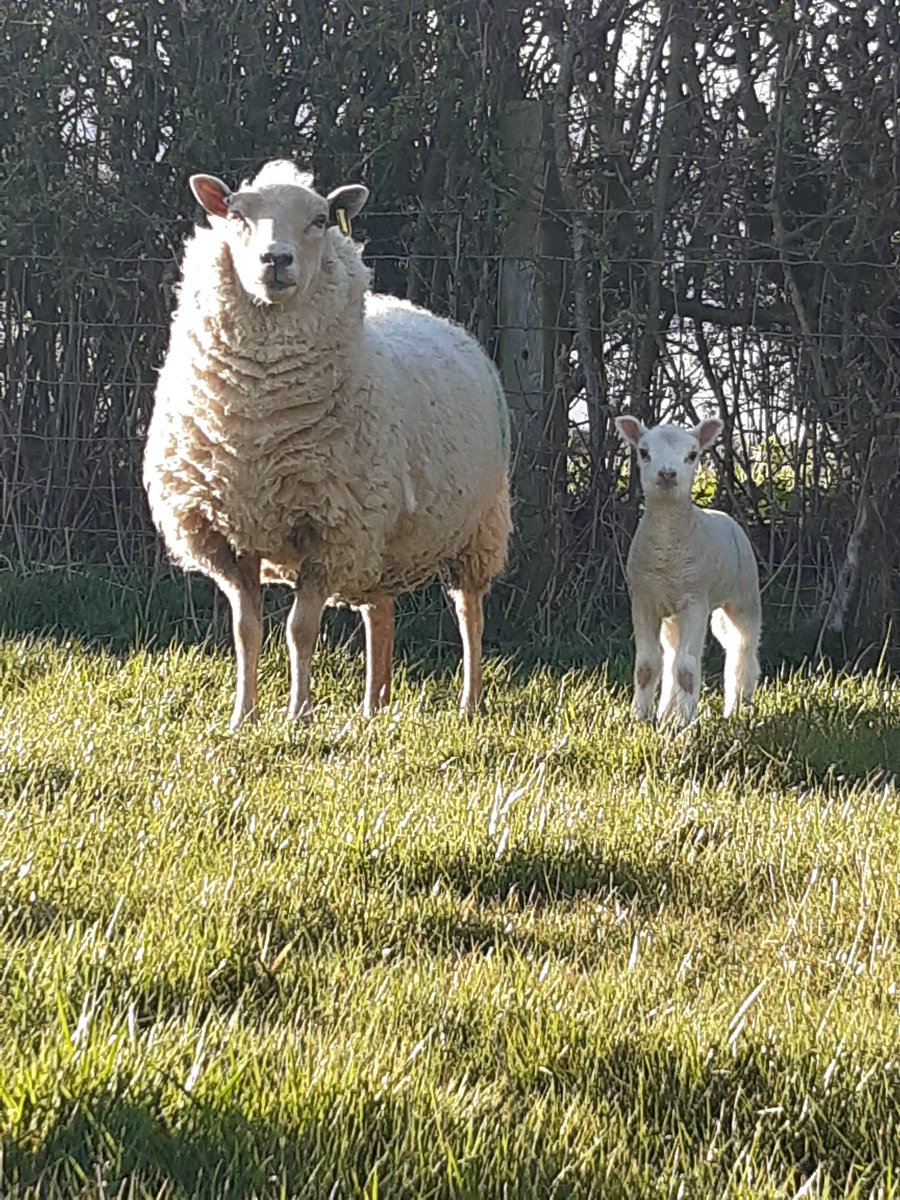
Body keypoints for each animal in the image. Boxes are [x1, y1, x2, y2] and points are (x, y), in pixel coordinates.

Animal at [144, 160, 511, 728]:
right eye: (236, 214)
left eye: (319, 219)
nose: (276, 260)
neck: (259, 423)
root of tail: (434, 317)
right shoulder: (229, 535)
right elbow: (246, 631)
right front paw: (243, 717)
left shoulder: (330, 532)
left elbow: (299, 629)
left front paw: (298, 714)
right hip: (380, 538)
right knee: (380, 613)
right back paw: (373, 708)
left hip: (477, 527)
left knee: (469, 611)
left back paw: (469, 703)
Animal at [614, 415, 761, 727]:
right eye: (643, 452)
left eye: (692, 455)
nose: (668, 474)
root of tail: (723, 515)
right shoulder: (644, 600)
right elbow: (647, 665)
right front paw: (641, 717)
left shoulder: (695, 600)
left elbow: (687, 668)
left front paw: (685, 723)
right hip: (673, 614)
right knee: (670, 654)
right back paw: (666, 712)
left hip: (744, 596)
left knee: (742, 650)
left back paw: (737, 708)